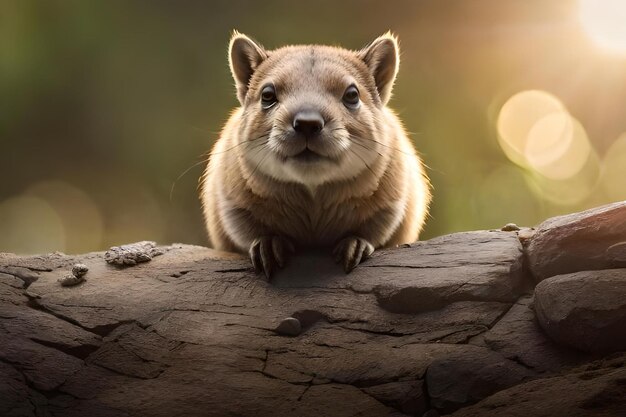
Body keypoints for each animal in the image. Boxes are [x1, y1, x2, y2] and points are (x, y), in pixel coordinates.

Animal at [200, 31, 428, 276]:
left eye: (352, 94)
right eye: (267, 95)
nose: (307, 123)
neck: (313, 197)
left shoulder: (392, 202)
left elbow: (376, 230)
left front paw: (354, 245)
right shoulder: (231, 203)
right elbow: (247, 231)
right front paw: (267, 246)